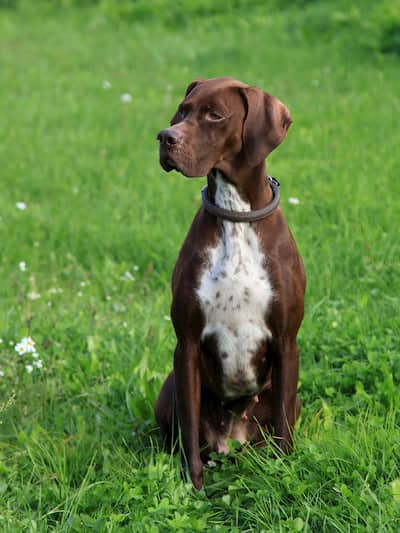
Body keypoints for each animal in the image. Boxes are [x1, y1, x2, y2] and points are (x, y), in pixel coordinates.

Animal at [155, 77, 304, 488]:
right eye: (182, 111)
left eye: (215, 115)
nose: (165, 137)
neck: (236, 215)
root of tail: (231, 440)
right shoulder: (187, 345)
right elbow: (190, 433)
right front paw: (193, 487)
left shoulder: (286, 343)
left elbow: (284, 431)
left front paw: (285, 476)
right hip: (169, 387)